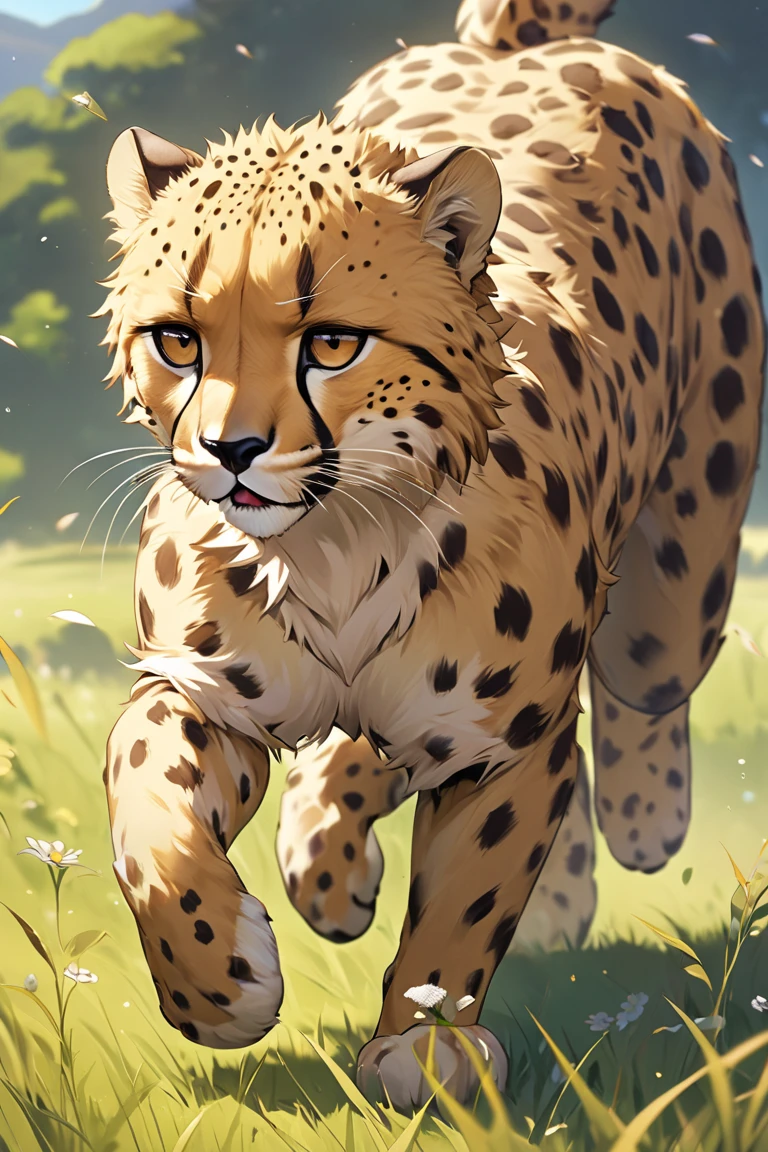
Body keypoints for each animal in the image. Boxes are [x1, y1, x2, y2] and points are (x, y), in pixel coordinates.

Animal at [98, 0, 765, 1109]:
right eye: (179, 341)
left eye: (332, 344)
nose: (231, 451)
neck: (333, 547)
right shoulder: (202, 690)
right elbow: (145, 805)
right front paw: (218, 983)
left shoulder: (503, 740)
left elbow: (472, 888)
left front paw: (426, 1043)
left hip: (688, 547)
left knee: (641, 685)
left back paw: (645, 816)